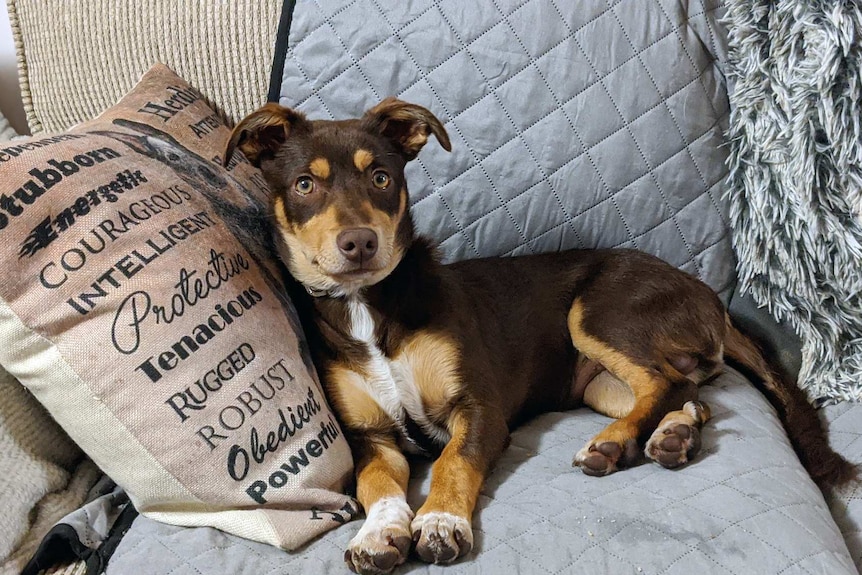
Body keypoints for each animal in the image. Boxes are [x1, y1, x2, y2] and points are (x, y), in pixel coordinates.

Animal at [226, 98, 860, 572]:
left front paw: (440, 521)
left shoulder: (478, 409)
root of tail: (710, 298)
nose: (360, 243)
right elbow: (375, 483)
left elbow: (453, 461)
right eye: (304, 185)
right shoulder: (369, 435)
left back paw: (617, 443)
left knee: (666, 383)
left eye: (381, 177)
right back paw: (670, 437)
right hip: (597, 382)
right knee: (688, 395)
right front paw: (379, 534)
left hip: (598, 313)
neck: (369, 307)